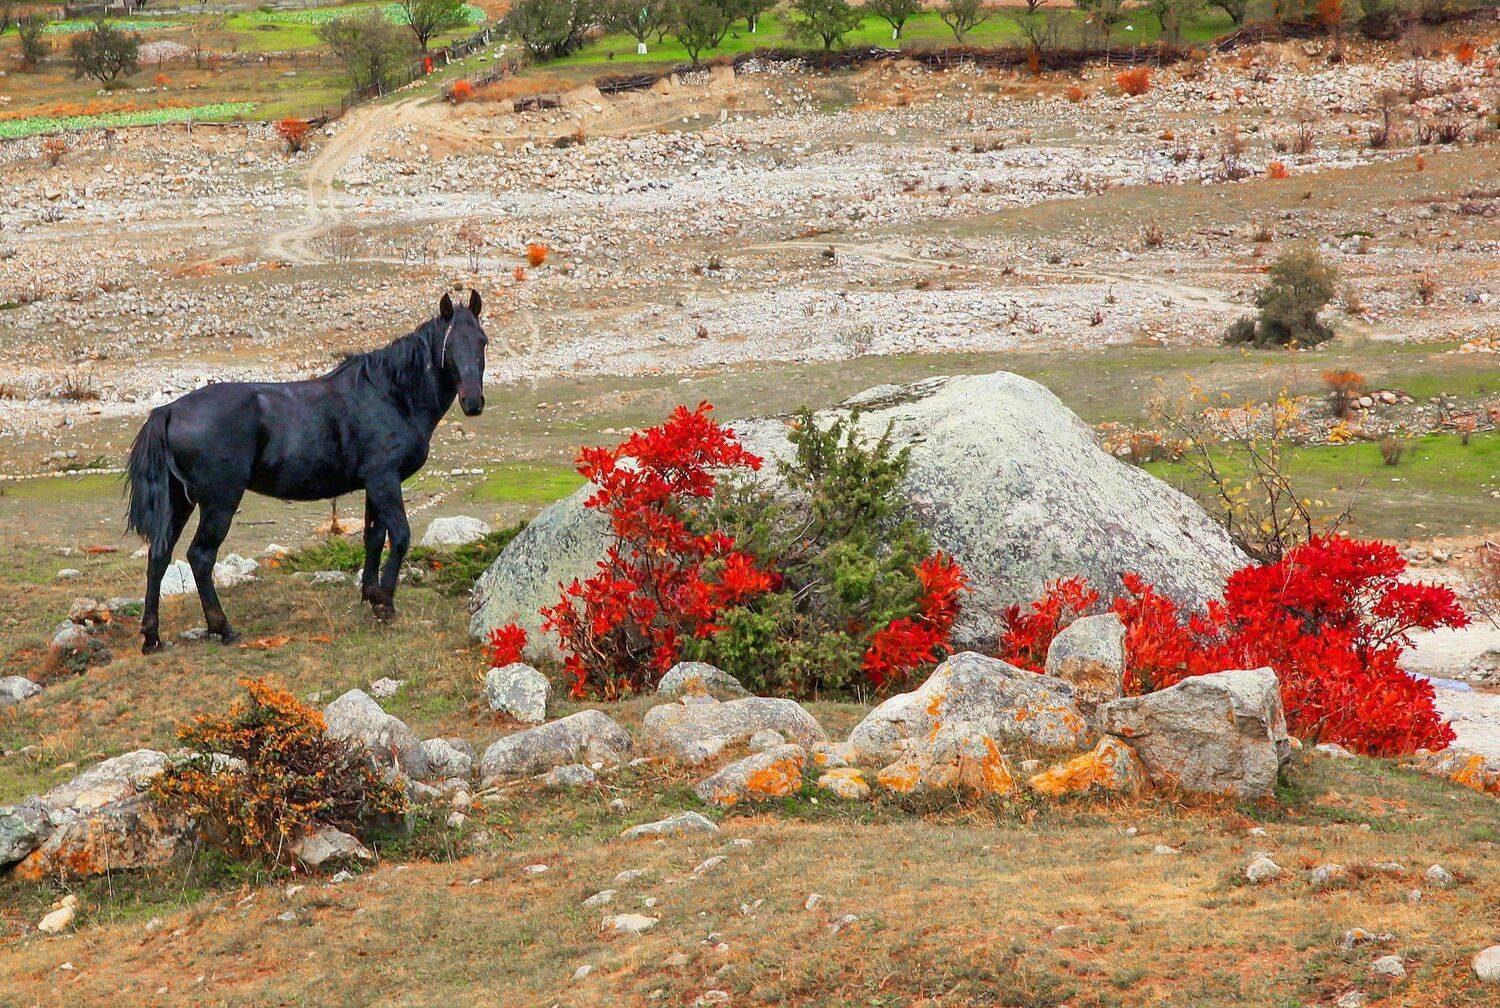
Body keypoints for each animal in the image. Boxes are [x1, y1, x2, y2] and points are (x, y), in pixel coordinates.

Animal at [124, 290, 488, 654]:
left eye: (482, 340)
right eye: (449, 343)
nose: (473, 403)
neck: (389, 395)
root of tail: (169, 410)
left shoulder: (374, 485)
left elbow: (373, 538)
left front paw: (371, 597)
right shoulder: (385, 481)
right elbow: (399, 537)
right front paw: (385, 602)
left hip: (180, 502)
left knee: (159, 556)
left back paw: (152, 636)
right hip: (219, 502)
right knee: (200, 557)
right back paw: (222, 627)